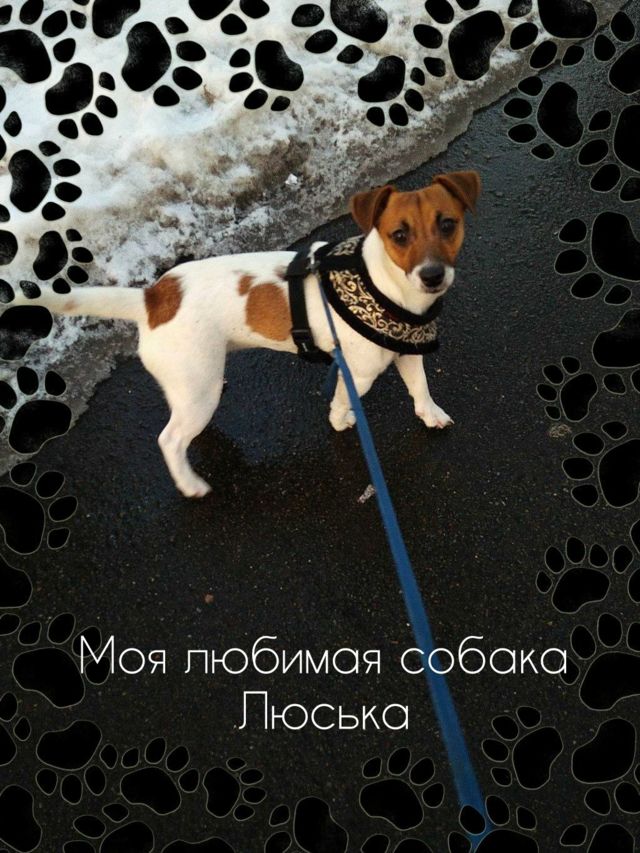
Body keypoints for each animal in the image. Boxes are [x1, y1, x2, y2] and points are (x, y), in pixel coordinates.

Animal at [11, 170, 480, 497]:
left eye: (448, 224)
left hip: (195, 382)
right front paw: (341, 421)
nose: (433, 276)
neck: (385, 285)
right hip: (196, 392)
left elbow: (419, 388)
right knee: (170, 439)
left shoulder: (407, 353)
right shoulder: (359, 372)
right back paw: (190, 484)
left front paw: (430, 415)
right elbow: (342, 402)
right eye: (399, 235)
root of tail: (153, 298)